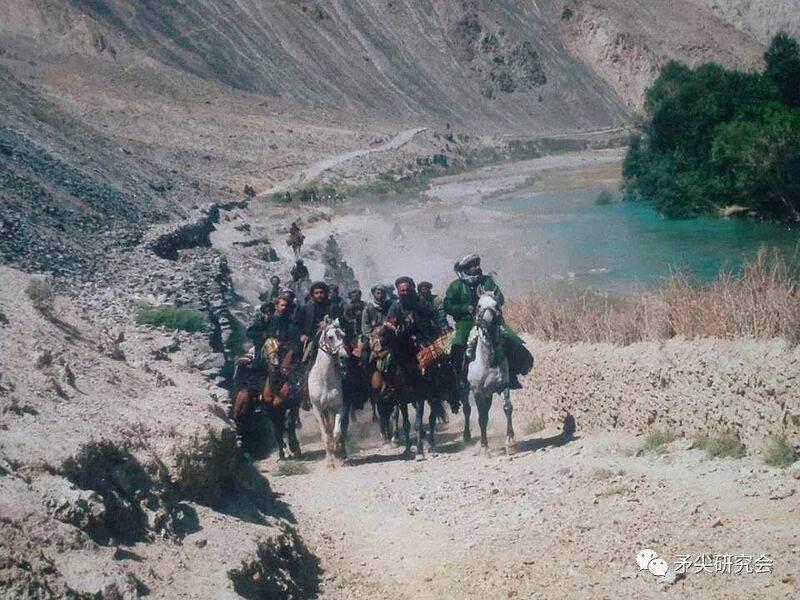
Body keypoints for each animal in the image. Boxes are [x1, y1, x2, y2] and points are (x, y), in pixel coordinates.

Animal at [307, 317, 351, 467]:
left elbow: (336, 432)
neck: (324, 380)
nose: (344, 356)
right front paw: (330, 462)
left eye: (343, 335)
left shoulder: (338, 408)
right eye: (330, 337)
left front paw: (338, 455)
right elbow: (326, 435)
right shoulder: (317, 410)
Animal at [464, 293, 516, 453]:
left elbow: (507, 408)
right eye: (479, 305)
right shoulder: (477, 392)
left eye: (496, 304)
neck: (488, 361)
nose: (488, 321)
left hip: (488, 395)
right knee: (467, 409)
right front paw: (484, 446)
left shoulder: (502, 386)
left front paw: (510, 441)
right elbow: (481, 418)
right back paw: (466, 436)